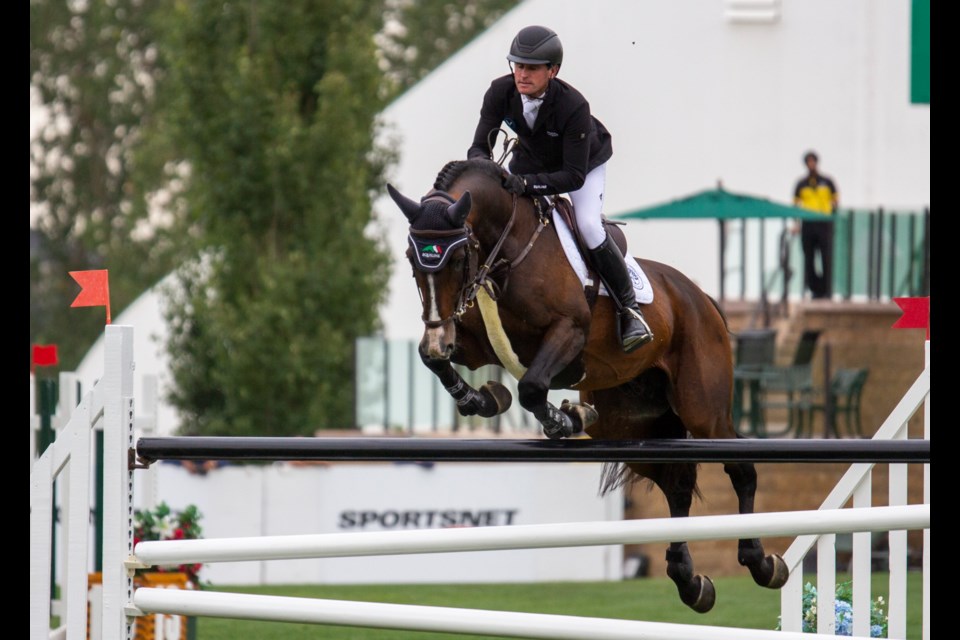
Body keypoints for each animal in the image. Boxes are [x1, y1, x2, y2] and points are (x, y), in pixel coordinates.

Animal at [384, 158, 788, 612]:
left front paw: (566, 420)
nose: (438, 331)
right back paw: (690, 582)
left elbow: (532, 387)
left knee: (740, 466)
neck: (506, 251)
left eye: (455, 260)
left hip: (703, 411)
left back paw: (760, 561)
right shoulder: (472, 344)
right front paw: (482, 398)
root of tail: (701, 298)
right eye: (412, 258)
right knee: (677, 484)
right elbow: (435, 360)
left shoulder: (568, 333)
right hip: (629, 425)